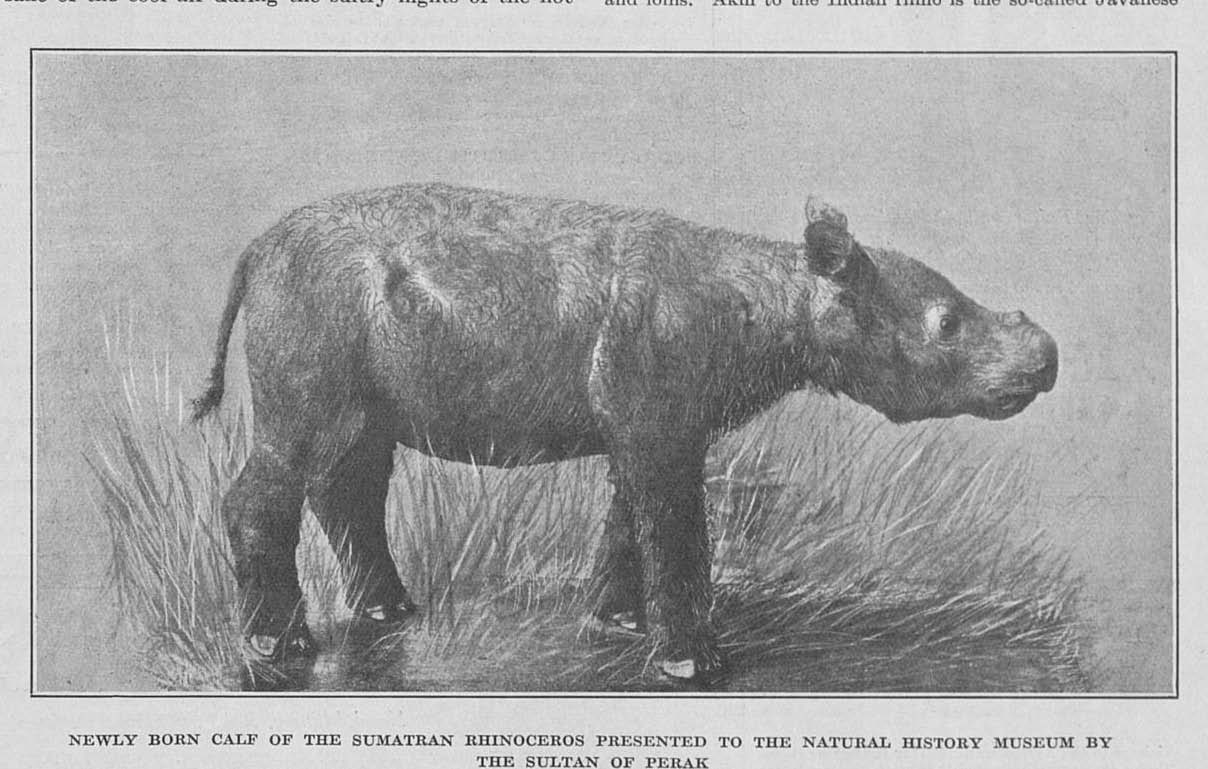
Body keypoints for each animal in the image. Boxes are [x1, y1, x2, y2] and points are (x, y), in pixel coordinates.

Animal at [194, 183, 1058, 682]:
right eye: (947, 325)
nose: (1046, 355)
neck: (785, 293)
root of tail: (254, 250)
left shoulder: (652, 419)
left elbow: (629, 516)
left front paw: (613, 624)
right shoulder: (657, 415)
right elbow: (674, 528)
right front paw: (690, 663)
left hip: (354, 342)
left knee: (355, 465)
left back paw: (391, 615)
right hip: (313, 305)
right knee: (298, 451)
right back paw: (280, 650)